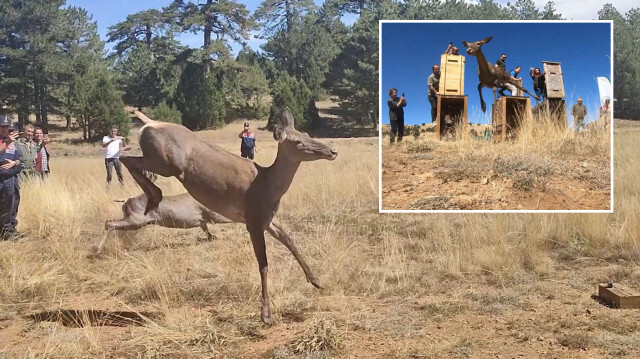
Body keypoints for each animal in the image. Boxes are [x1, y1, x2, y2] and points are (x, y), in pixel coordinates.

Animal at [120, 108, 340, 324]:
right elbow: (263, 264)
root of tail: (150, 123)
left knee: (128, 160)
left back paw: (153, 197)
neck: (267, 186)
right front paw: (266, 315)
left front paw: (316, 281)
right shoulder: (252, 218)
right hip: (163, 162)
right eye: (298, 143)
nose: (333, 151)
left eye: (307, 134)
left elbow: (290, 240)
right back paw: (154, 196)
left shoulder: (267, 219)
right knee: (125, 158)